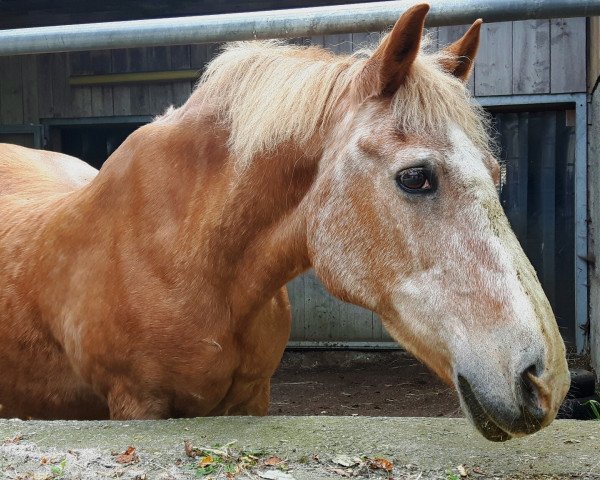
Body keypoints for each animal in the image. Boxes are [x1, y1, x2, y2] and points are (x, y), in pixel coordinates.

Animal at [0, 3, 572, 440]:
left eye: (496, 173)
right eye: (415, 177)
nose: (544, 381)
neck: (184, 256)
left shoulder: (253, 397)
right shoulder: (138, 405)